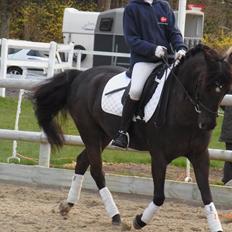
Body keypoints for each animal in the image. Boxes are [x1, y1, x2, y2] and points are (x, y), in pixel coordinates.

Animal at [32, 44, 232, 231]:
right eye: (203, 84)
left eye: (224, 90)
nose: (208, 124)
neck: (185, 115)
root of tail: (81, 75)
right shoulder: (158, 156)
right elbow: (159, 197)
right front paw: (139, 221)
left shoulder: (200, 155)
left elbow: (206, 195)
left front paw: (216, 226)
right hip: (90, 132)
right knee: (97, 171)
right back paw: (115, 216)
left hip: (104, 135)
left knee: (81, 162)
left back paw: (68, 205)